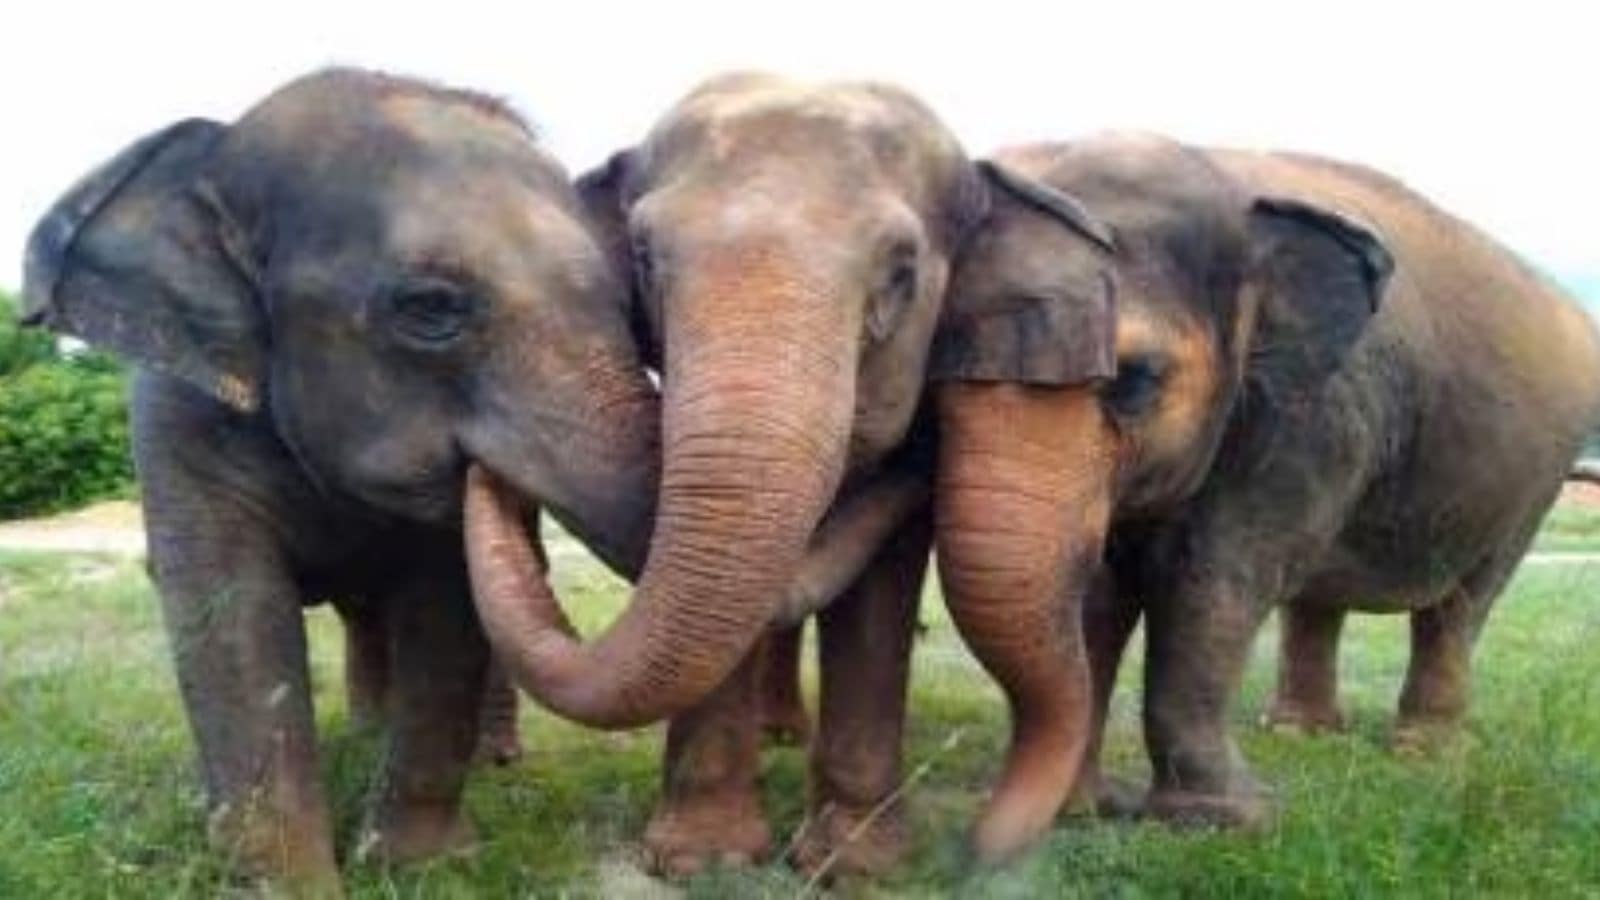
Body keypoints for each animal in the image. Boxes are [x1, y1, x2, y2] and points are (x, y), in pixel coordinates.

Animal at [19, 69, 662, 893]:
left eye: (628, 303)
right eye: (431, 308)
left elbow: (445, 611)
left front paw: (416, 866)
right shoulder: (176, 420)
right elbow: (233, 616)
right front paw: (285, 883)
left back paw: (481, 760)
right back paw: (358, 740)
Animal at [460, 72, 1121, 875]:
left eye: (901, 272)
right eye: (644, 257)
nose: (918, 451)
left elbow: (878, 595)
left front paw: (854, 870)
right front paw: (704, 861)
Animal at [933, 132, 1600, 836]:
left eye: (1134, 379)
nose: (984, 843)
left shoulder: (1315, 413)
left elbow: (1215, 579)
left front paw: (1223, 821)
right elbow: (1098, 588)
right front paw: (1082, 813)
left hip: (1536, 476)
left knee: (1464, 601)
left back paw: (1426, 753)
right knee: (1320, 599)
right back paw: (1300, 735)